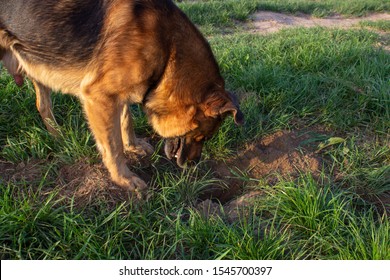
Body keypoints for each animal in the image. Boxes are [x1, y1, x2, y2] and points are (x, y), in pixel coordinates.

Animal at [0, 0, 244, 197]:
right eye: (202, 137)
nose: (193, 164)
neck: (168, 50)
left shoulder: (119, 95)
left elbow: (126, 121)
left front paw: (133, 146)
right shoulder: (99, 97)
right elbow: (112, 145)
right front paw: (123, 179)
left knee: (42, 105)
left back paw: (58, 136)